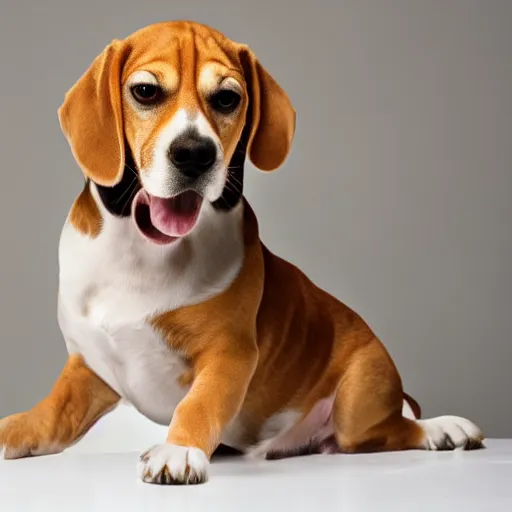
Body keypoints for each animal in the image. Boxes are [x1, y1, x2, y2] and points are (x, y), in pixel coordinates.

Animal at [0, 20, 482, 484]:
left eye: (228, 98)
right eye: (145, 91)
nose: (194, 153)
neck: (141, 250)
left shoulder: (228, 355)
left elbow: (197, 406)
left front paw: (178, 449)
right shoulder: (91, 369)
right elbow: (48, 417)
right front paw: (13, 429)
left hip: (358, 404)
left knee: (398, 429)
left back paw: (445, 428)